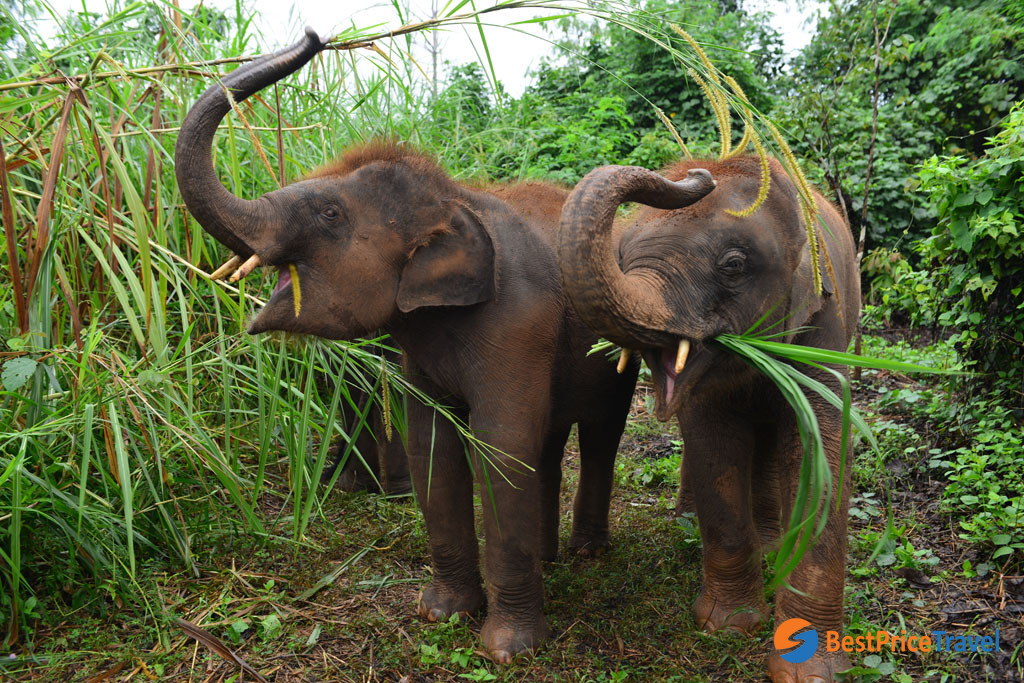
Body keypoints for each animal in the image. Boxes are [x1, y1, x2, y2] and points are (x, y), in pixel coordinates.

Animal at [173, 29, 706, 660]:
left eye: (330, 213)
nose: (314, 36)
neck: (456, 199)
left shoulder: (518, 321)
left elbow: (502, 446)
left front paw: (507, 649)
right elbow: (434, 443)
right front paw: (441, 614)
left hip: (618, 352)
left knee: (601, 433)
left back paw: (587, 553)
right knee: (551, 440)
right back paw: (551, 558)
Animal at [557, 157, 860, 683]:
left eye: (733, 265)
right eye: (621, 256)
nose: (700, 173)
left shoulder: (824, 326)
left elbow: (817, 452)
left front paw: (811, 670)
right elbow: (713, 447)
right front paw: (727, 626)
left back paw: (772, 543)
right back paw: (694, 523)